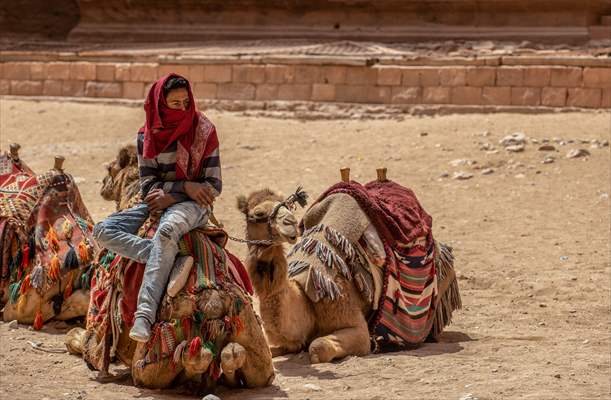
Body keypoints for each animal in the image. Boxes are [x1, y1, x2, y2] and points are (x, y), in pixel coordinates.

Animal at [237, 171, 462, 362]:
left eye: (286, 205)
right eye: (258, 214)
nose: (290, 223)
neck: (305, 293)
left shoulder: (353, 323)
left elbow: (317, 347)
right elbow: (273, 346)